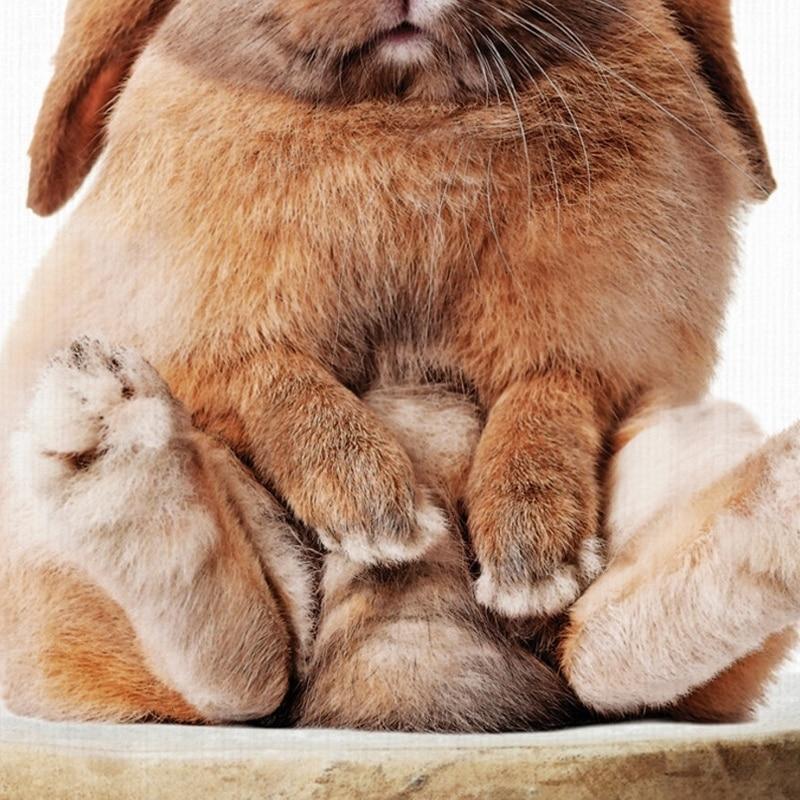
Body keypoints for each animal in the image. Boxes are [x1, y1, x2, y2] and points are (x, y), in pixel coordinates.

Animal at [1, 0, 798, 728]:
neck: (405, 110)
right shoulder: (200, 325)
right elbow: (273, 376)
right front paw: (374, 508)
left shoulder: (599, 345)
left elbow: (548, 395)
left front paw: (531, 548)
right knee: (240, 676)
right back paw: (103, 430)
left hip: (687, 448)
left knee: (614, 654)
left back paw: (777, 494)